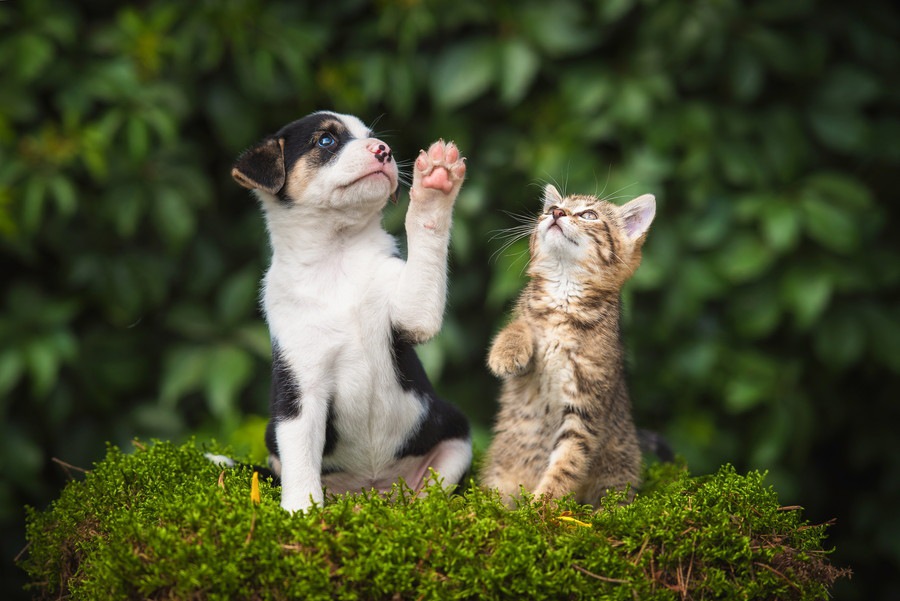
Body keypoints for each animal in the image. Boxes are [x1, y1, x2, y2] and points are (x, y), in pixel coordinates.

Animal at [230, 109, 472, 510]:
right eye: (326, 140)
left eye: (371, 135)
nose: (383, 150)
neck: (337, 255)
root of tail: (372, 489)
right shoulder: (301, 389)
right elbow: (300, 460)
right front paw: (301, 511)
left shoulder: (412, 314)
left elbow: (426, 228)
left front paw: (435, 182)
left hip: (455, 436)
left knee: (429, 492)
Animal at [478, 184, 652, 506]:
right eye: (550, 208)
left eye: (589, 215)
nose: (556, 212)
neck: (564, 295)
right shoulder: (527, 322)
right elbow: (518, 325)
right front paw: (506, 352)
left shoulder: (585, 407)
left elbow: (567, 463)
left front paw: (540, 506)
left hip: (619, 469)